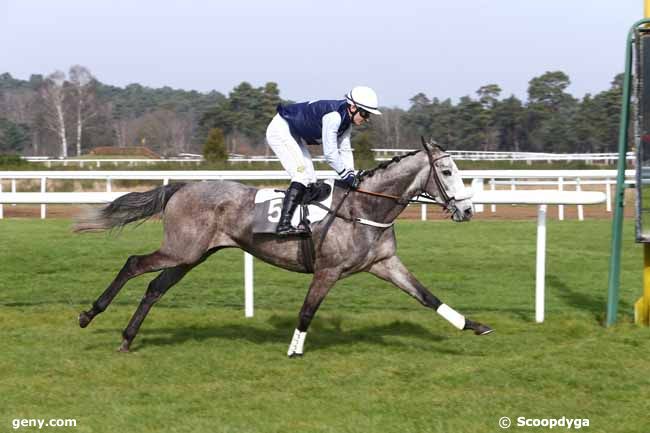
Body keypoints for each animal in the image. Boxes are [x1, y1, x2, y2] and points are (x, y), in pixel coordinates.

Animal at [74, 140, 492, 356]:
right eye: (448, 171)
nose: (468, 210)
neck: (365, 208)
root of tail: (182, 186)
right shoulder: (328, 270)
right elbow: (307, 310)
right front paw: (294, 349)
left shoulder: (385, 262)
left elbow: (427, 297)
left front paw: (474, 325)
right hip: (182, 250)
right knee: (133, 263)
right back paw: (90, 314)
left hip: (193, 255)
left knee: (154, 287)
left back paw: (128, 338)